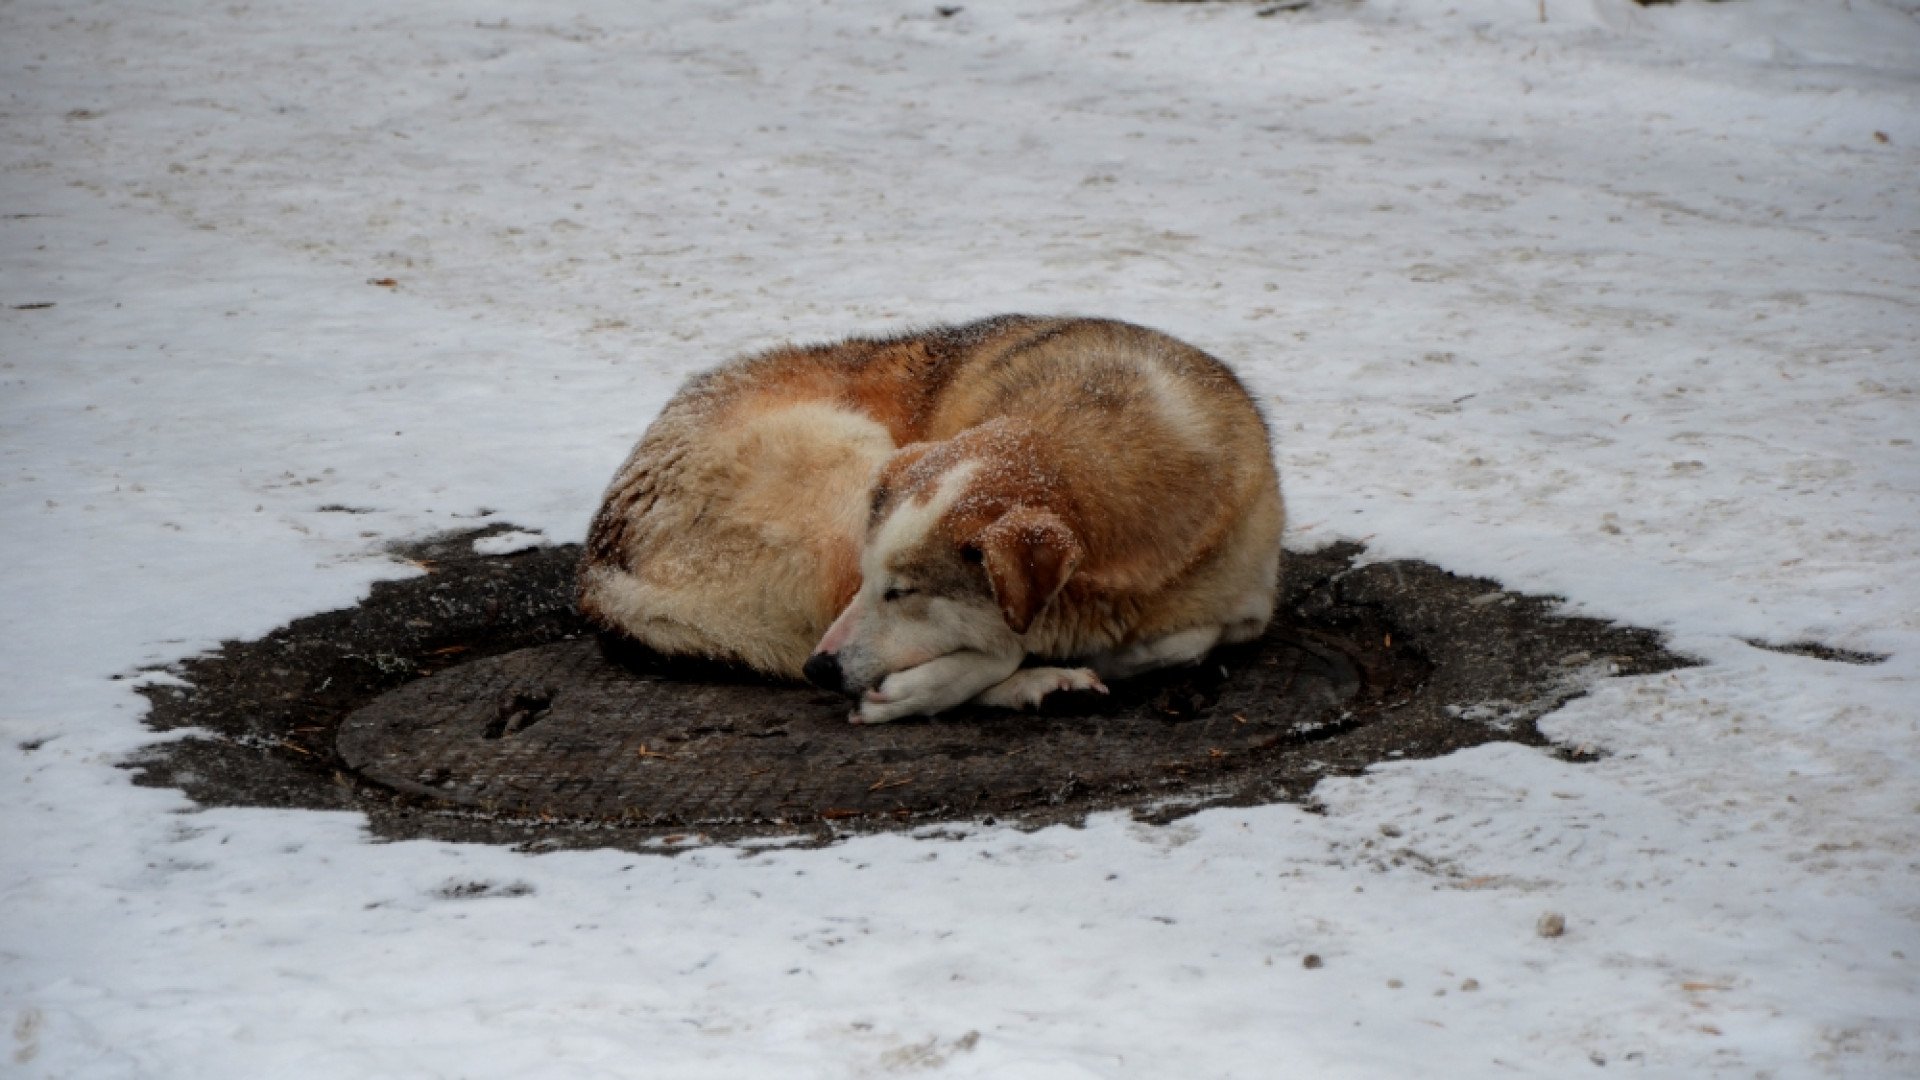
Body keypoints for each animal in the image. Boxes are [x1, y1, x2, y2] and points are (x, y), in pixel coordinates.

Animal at [576, 313, 1282, 722]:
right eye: (882, 587)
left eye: (903, 594)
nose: (820, 671)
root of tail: (598, 566)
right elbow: (1003, 642)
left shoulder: (1248, 602)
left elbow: (1192, 637)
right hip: (852, 464)